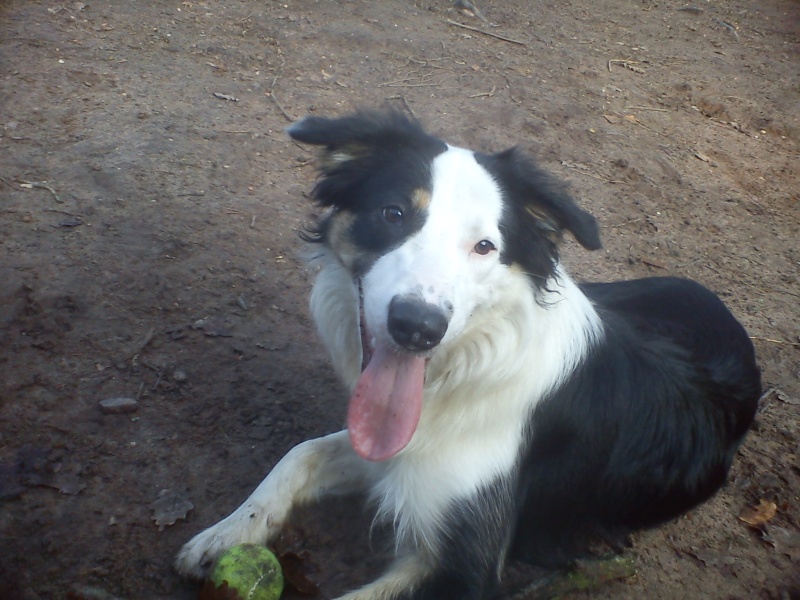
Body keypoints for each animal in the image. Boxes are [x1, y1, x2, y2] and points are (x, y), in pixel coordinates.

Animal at [177, 110, 764, 596]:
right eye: (393, 213)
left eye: (485, 246)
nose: (417, 327)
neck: (460, 374)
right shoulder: (396, 453)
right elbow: (300, 453)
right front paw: (226, 533)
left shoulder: (466, 564)